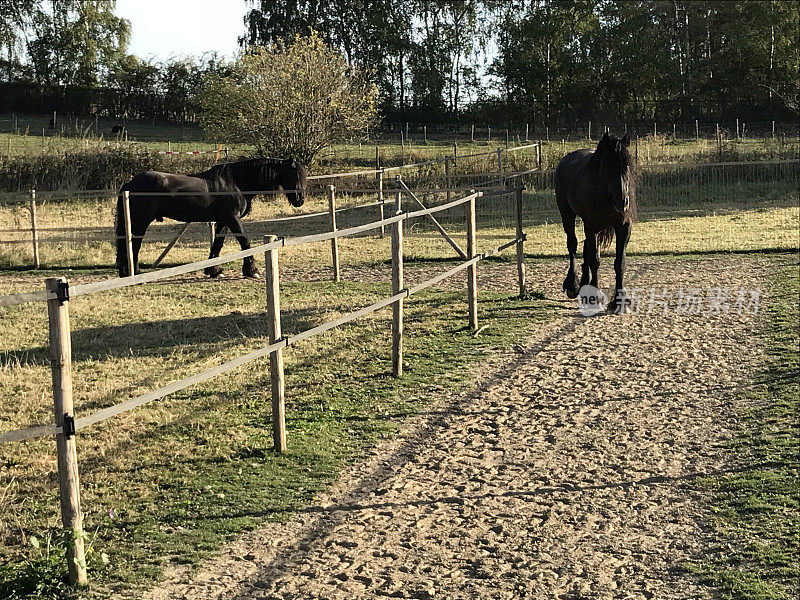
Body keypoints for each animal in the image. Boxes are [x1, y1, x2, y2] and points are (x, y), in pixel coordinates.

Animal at [115, 159, 306, 282]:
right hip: (140, 222)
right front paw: (252, 271)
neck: (236, 182)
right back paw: (136, 272)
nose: (300, 200)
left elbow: (217, 245)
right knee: (133, 244)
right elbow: (245, 242)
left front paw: (214, 270)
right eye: (294, 176)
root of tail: (130, 184)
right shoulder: (233, 219)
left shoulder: (223, 221)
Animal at [556, 132, 636, 314]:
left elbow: (619, 262)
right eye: (607, 167)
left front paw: (620, 301)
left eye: (626, 165)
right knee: (572, 245)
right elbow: (595, 260)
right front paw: (594, 299)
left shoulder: (623, 228)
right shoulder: (591, 227)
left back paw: (585, 283)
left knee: (586, 248)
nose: (622, 202)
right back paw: (573, 284)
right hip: (568, 215)